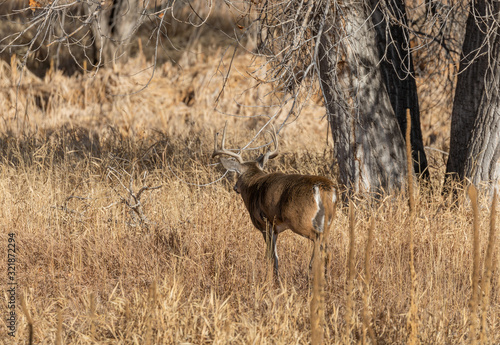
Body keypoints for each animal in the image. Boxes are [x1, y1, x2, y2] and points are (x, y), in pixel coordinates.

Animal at [211, 122, 336, 278]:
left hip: (301, 221)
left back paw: (312, 273)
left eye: (237, 175)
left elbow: (271, 256)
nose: (235, 187)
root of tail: (324, 188)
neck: (253, 184)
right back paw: (324, 276)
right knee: (327, 248)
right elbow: (275, 255)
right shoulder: (275, 228)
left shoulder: (264, 223)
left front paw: (272, 278)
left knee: (320, 244)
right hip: (328, 222)